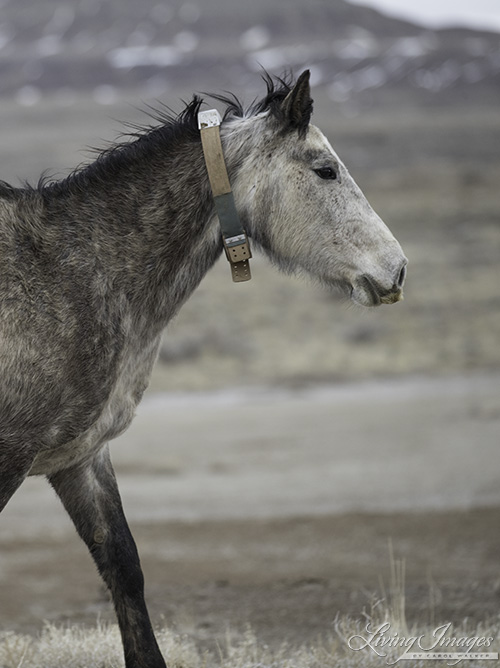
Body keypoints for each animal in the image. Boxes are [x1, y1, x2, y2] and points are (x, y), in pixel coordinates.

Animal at [0, 70, 406, 664]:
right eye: (325, 169)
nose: (396, 270)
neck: (68, 272)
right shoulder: (9, 457)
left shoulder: (80, 456)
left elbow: (124, 568)